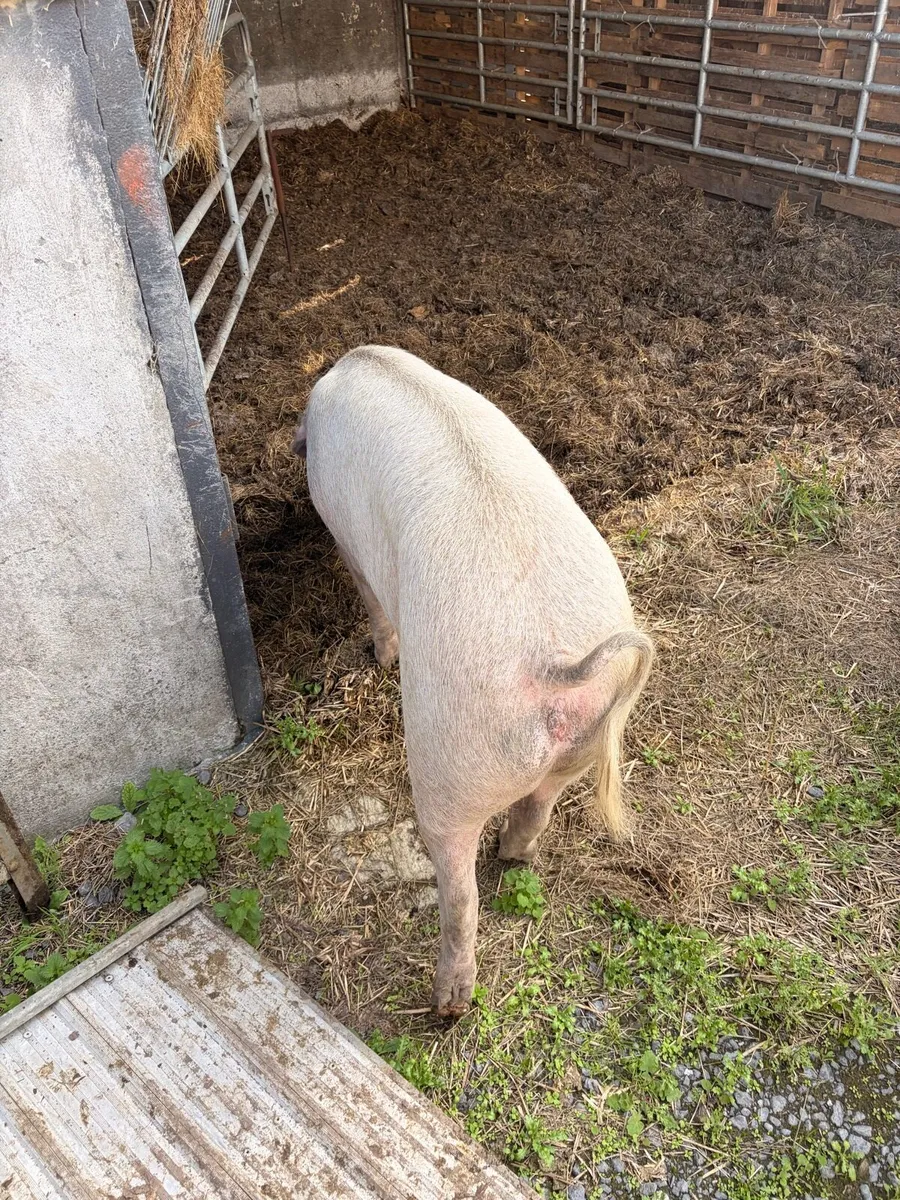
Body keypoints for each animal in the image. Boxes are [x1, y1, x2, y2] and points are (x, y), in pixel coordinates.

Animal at [294, 346, 653, 1018]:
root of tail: (553, 661)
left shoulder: (342, 531)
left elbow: (367, 596)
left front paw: (379, 657)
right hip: (582, 744)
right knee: (536, 808)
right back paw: (516, 858)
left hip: (450, 758)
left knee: (460, 891)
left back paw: (448, 1004)